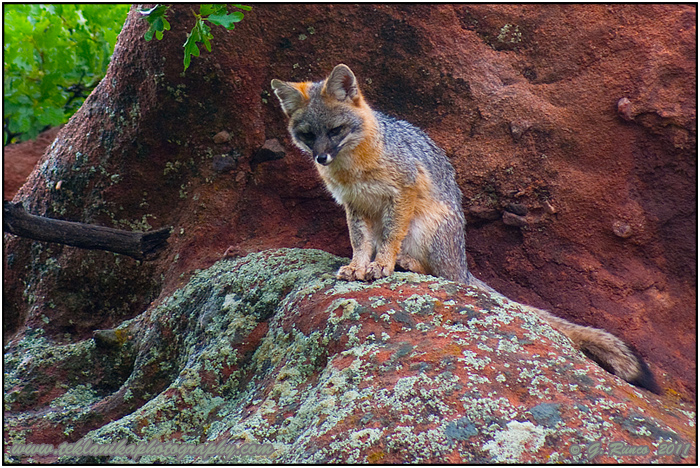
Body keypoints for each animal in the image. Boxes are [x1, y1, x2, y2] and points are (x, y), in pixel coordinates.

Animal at [271, 64, 658, 393]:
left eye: (336, 130)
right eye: (308, 135)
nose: (321, 158)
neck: (353, 168)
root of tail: (464, 265)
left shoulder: (403, 192)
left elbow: (390, 238)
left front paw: (381, 264)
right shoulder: (354, 206)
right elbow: (359, 243)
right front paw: (357, 265)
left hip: (429, 227)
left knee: (441, 273)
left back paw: (407, 263)